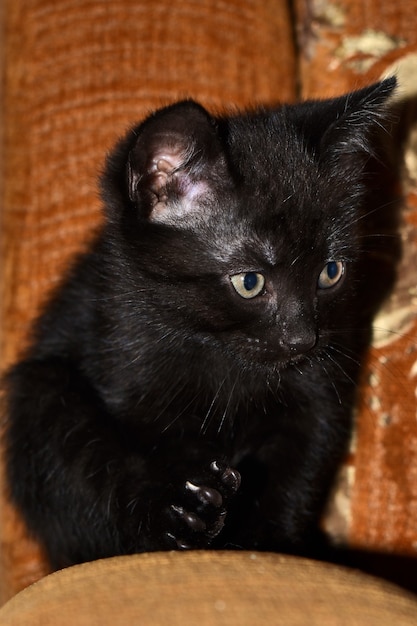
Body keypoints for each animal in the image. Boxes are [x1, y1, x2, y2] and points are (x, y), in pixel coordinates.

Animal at [5, 78, 396, 564]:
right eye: (249, 281)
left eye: (330, 272)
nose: (302, 340)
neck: (222, 355)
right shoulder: (124, 359)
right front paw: (187, 512)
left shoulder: (317, 397)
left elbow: (296, 473)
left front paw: (270, 545)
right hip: (41, 394)